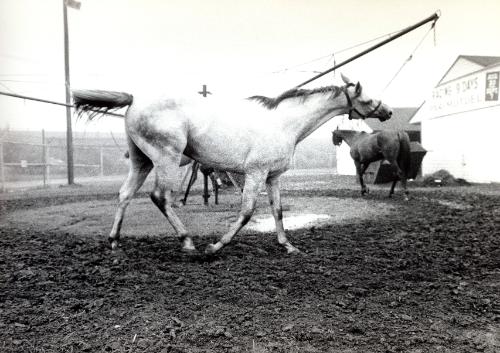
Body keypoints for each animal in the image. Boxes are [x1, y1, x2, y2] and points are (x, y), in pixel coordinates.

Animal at [74, 75, 392, 254]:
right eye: (367, 98)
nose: (387, 111)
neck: (283, 123)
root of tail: (134, 99)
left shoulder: (272, 177)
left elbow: (277, 210)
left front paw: (288, 246)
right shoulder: (254, 173)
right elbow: (247, 212)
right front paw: (215, 246)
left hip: (142, 161)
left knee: (125, 194)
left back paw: (115, 242)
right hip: (166, 158)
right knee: (160, 197)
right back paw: (188, 243)